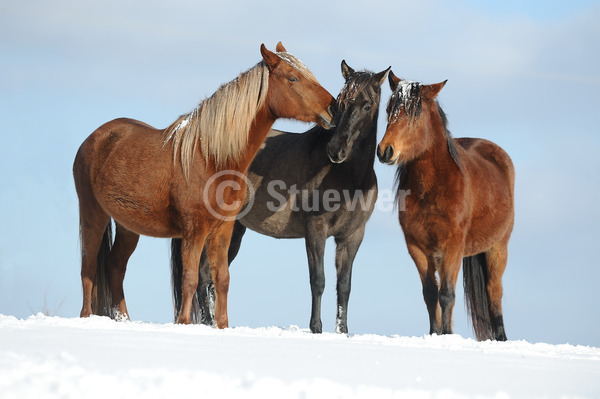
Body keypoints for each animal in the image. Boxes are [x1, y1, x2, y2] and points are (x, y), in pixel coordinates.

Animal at [72, 43, 336, 328]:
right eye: (292, 78)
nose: (334, 108)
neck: (211, 159)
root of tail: (96, 137)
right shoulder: (194, 229)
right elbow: (190, 279)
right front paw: (184, 323)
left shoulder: (223, 229)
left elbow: (221, 279)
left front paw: (222, 325)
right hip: (93, 213)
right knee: (88, 267)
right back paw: (85, 316)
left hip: (128, 226)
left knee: (115, 267)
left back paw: (123, 320)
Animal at [171, 60, 392, 334]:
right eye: (340, 102)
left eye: (367, 105)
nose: (335, 150)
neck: (347, 178)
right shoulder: (316, 229)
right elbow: (318, 280)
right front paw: (316, 328)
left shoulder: (352, 236)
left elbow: (344, 286)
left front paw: (342, 332)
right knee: (203, 276)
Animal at [378, 72, 512, 340]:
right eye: (389, 109)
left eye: (415, 114)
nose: (385, 150)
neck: (433, 188)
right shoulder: (417, 247)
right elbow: (431, 293)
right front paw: (434, 334)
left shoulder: (453, 246)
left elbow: (447, 294)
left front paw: (448, 335)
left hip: (498, 247)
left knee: (494, 291)